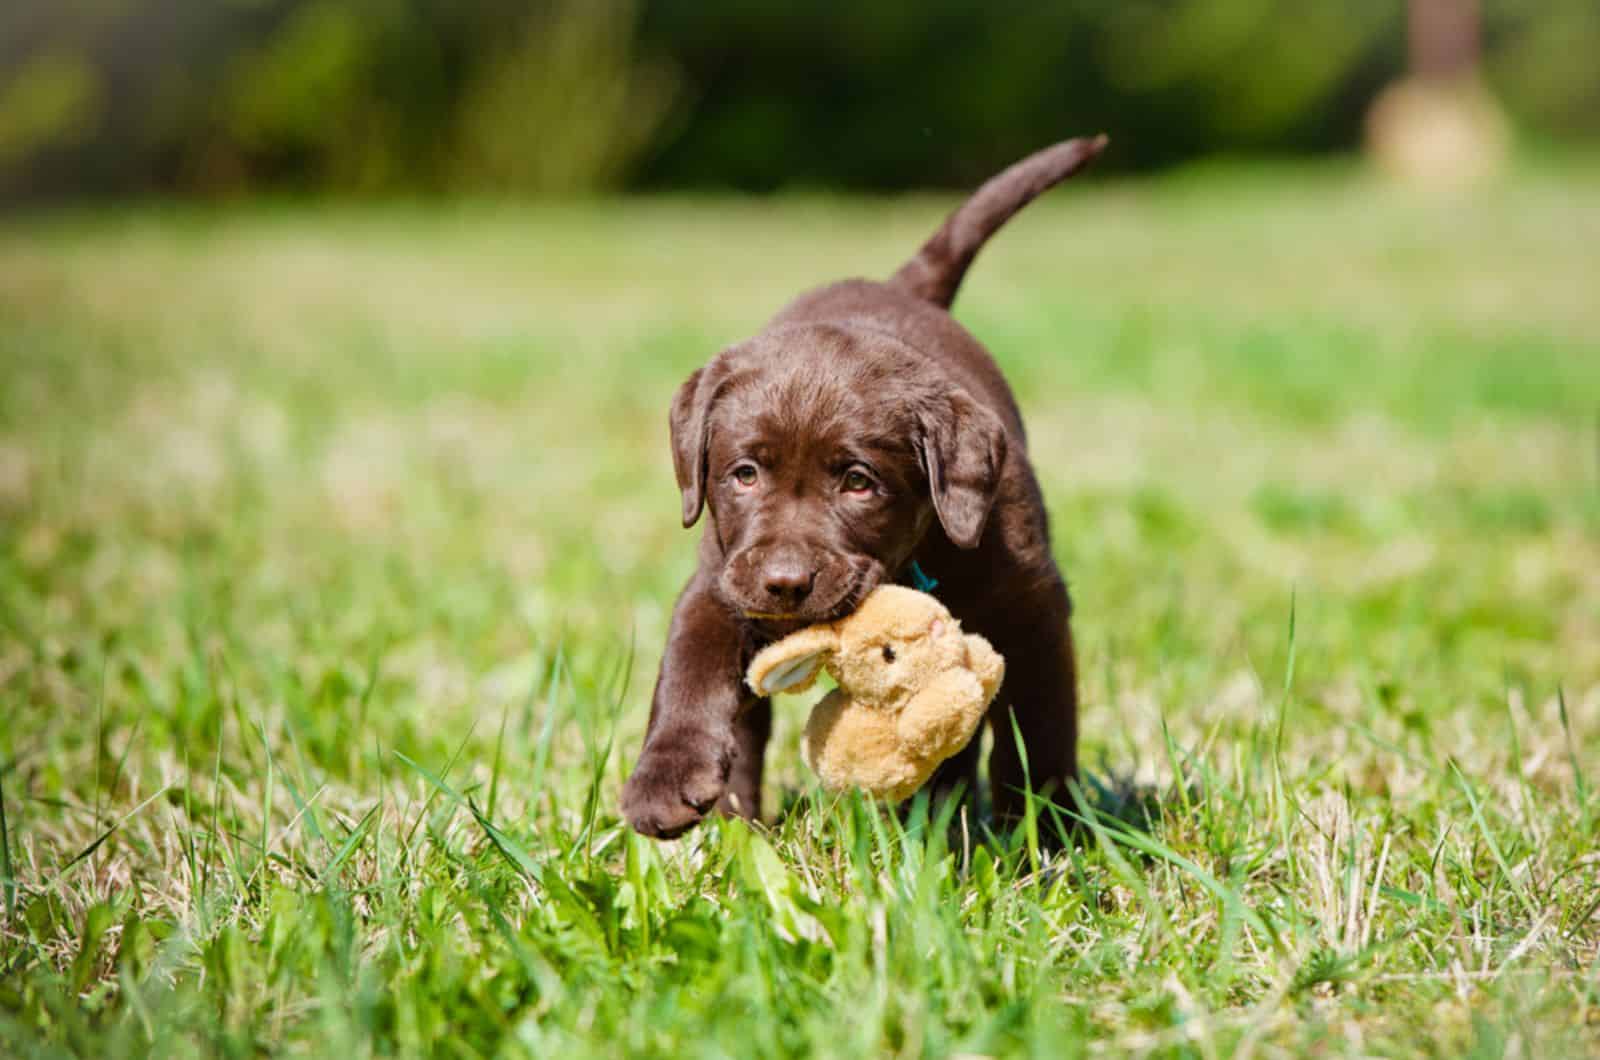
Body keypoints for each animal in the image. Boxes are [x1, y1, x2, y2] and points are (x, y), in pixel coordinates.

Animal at [617, 139, 1107, 839]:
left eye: (858, 482)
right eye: (744, 473)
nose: (785, 584)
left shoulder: (1033, 607)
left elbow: (1037, 727)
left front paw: (1042, 830)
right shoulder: (720, 579)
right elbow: (689, 666)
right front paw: (664, 779)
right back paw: (743, 825)